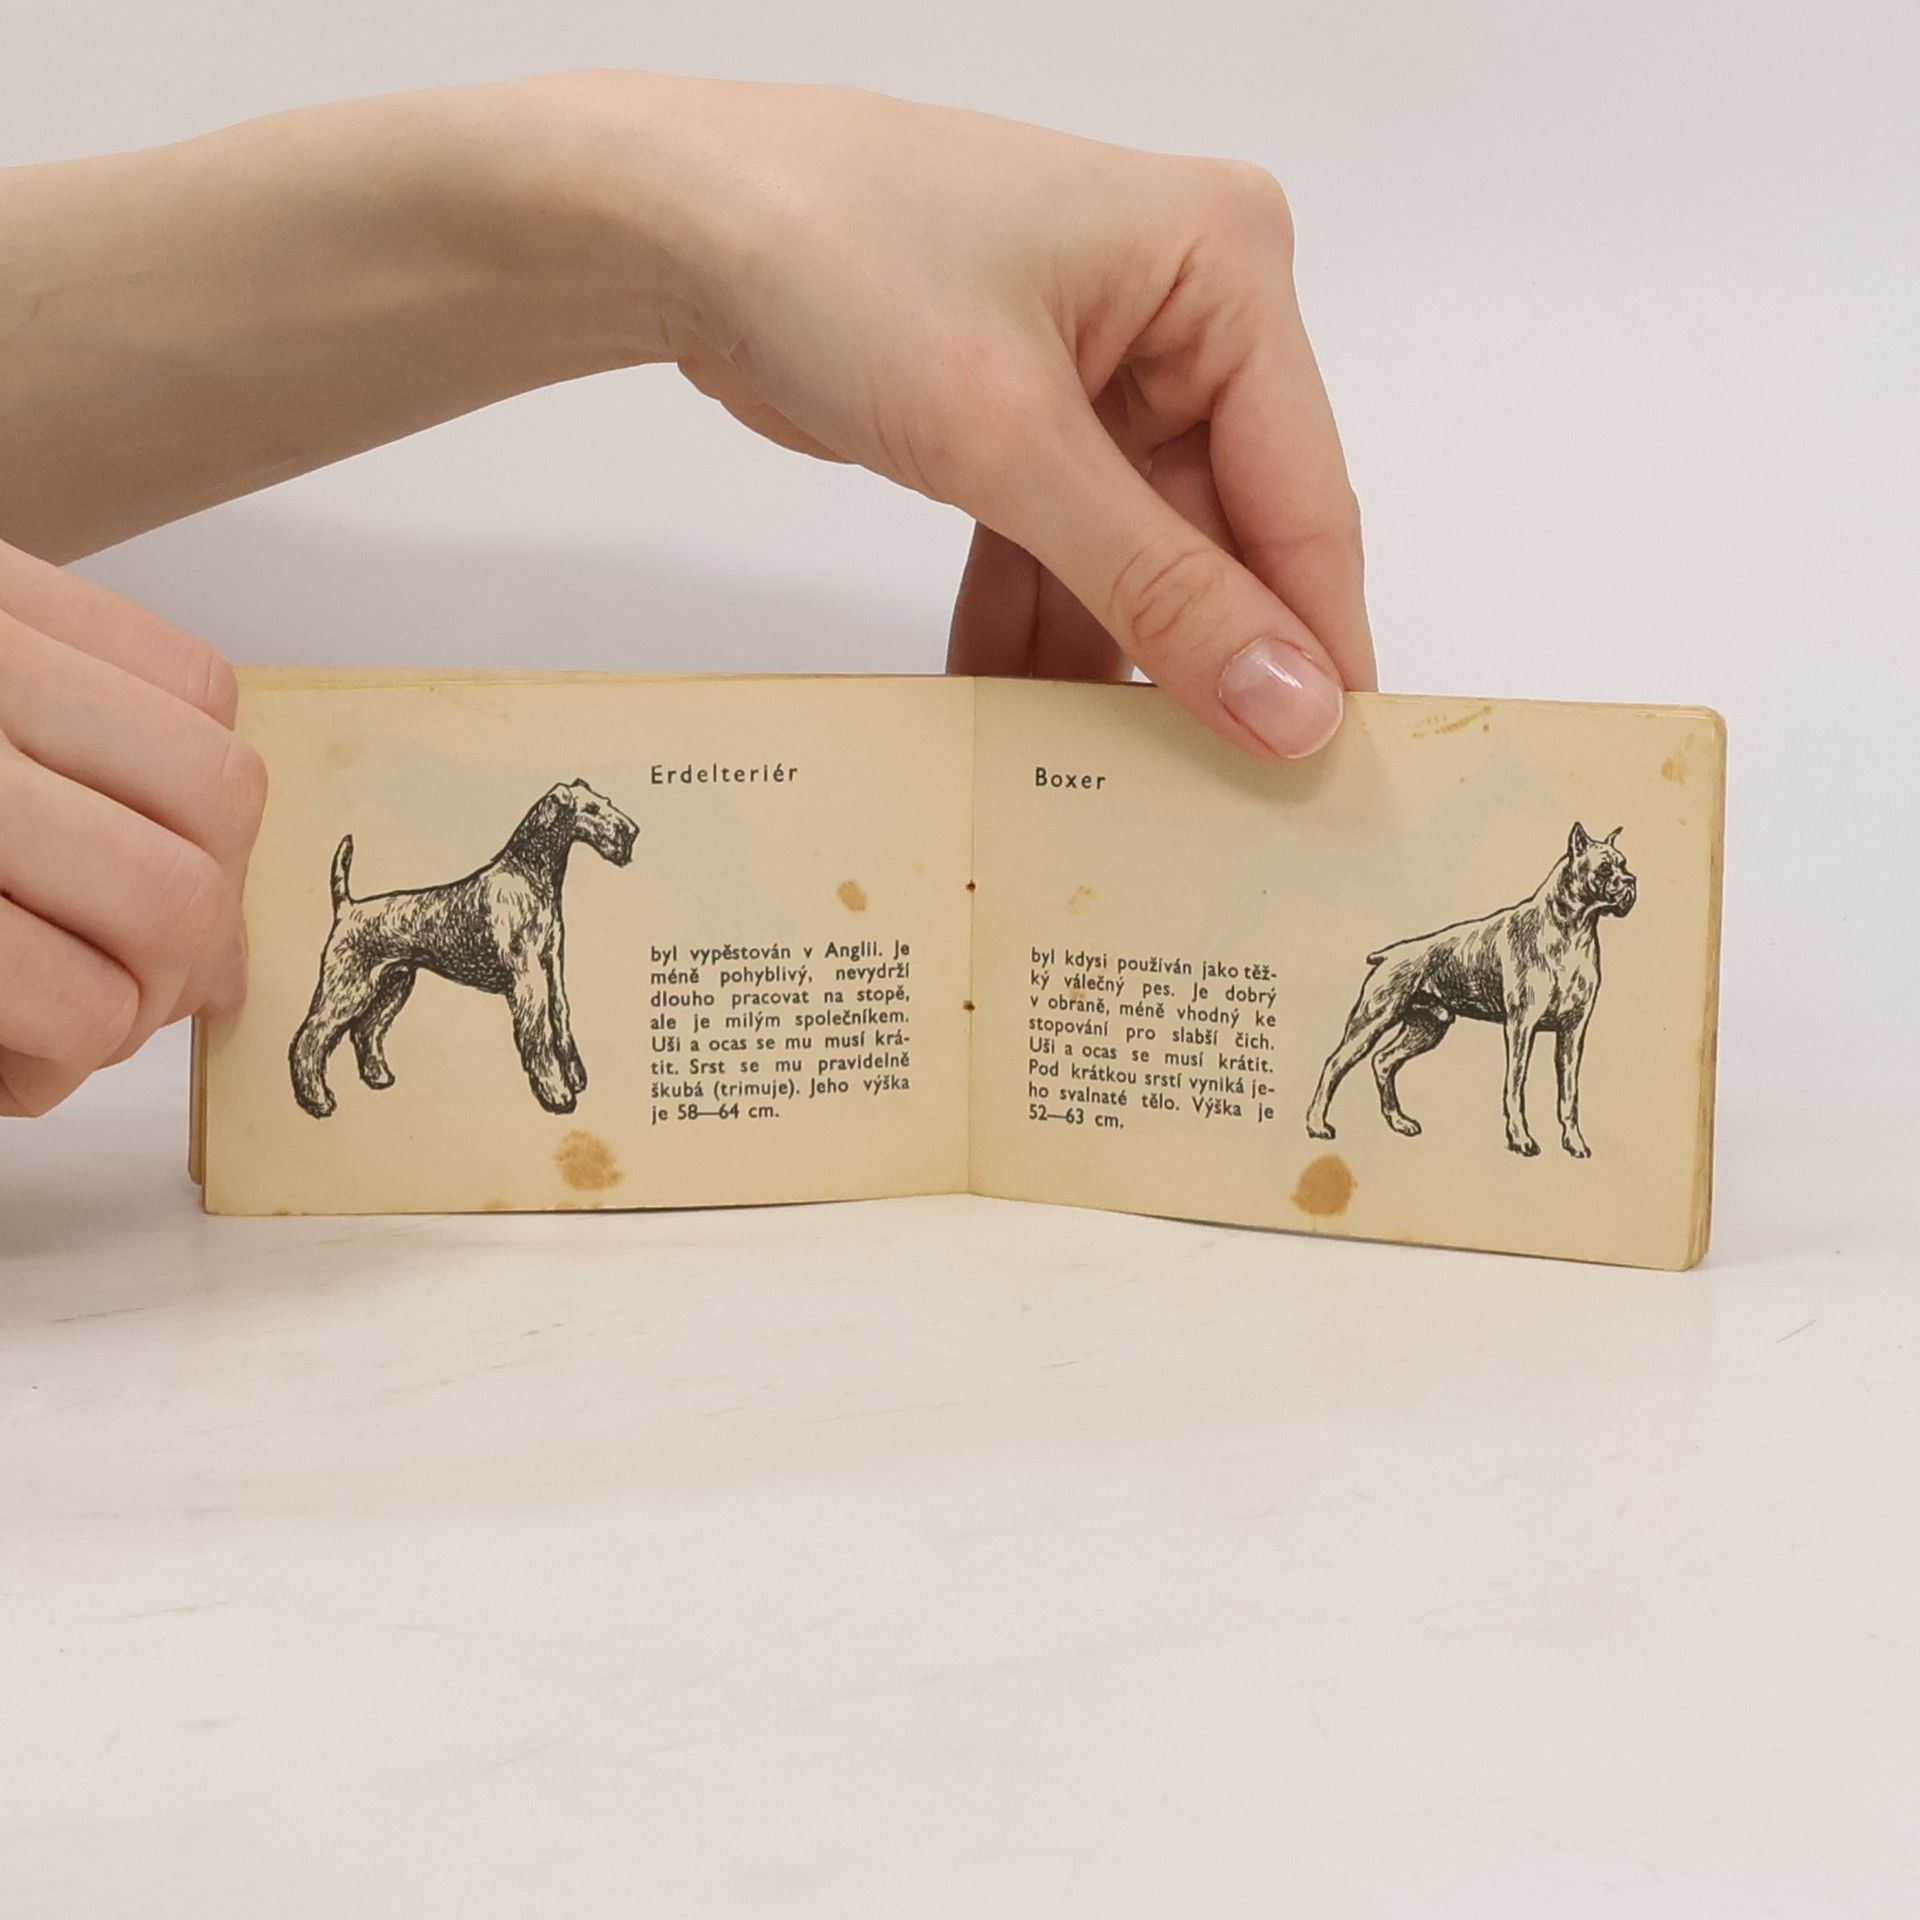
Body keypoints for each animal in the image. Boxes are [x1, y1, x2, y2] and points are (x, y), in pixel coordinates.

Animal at [289, 780, 637, 1119]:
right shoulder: (527, 977)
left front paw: (575, 1079)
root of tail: (347, 907)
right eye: (591, 809)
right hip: (348, 988)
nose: (631, 831)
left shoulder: (551, 965)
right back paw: (317, 1101)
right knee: (310, 1039)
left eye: (605, 801)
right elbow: (539, 1033)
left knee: (366, 1030)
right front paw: (558, 1095)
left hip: (393, 985)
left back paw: (378, 1077)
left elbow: (561, 1020)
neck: (529, 875)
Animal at [1304, 823, 1637, 1158]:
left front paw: (1574, 1142)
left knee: (1383, 1061)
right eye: (1605, 869)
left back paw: (1399, 1121)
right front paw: (1520, 1139)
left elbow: (1568, 1094)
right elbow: (1515, 1086)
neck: (1571, 930)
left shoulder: (1572, 1032)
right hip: (1372, 1022)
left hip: (1427, 1027)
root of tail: (1387, 955)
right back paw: (1317, 1124)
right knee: (1334, 1064)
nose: (1631, 882)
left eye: (1624, 865)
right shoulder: (1520, 1027)